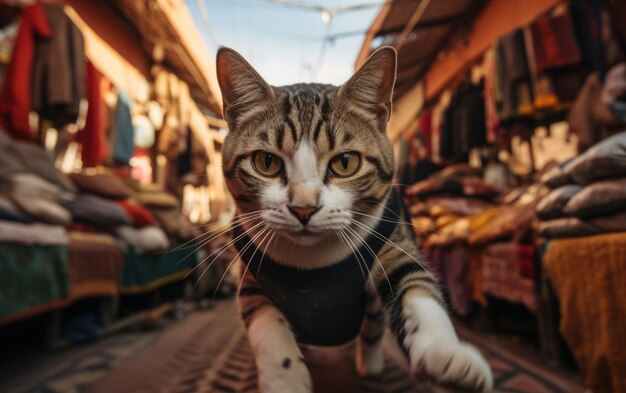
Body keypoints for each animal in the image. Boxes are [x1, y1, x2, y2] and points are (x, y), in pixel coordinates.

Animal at [214, 44, 492, 390]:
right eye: (266, 162)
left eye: (345, 162)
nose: (304, 208)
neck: (313, 261)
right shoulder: (253, 277)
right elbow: (268, 331)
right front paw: (284, 379)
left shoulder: (393, 243)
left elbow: (417, 287)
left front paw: (446, 354)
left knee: (373, 321)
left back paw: (369, 363)